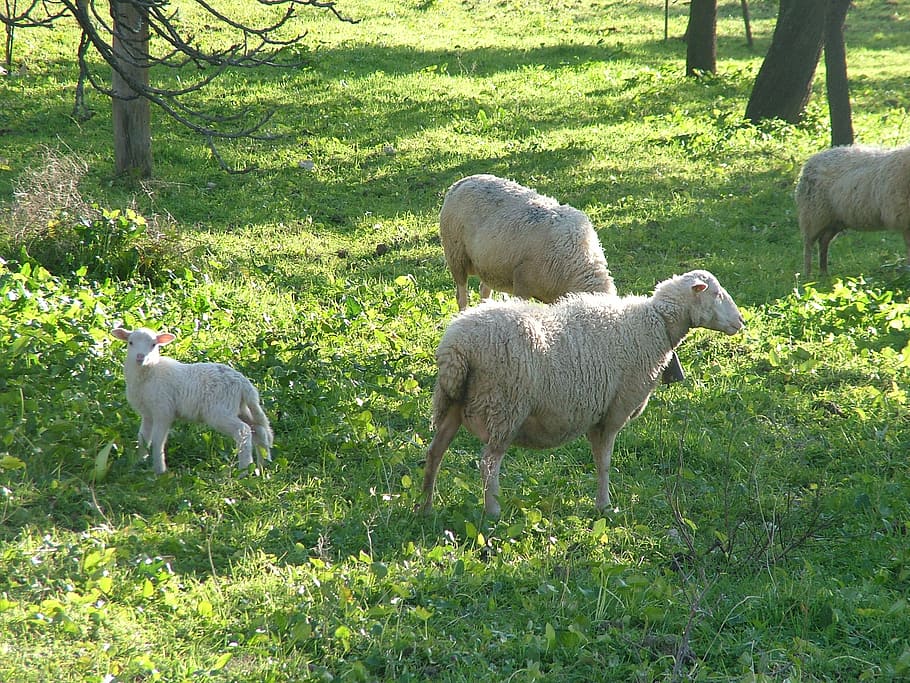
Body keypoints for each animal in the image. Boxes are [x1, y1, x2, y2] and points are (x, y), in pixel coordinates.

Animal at [111, 326, 273, 474]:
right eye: (130, 342)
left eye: (153, 344)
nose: (140, 357)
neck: (150, 372)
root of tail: (244, 384)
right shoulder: (147, 413)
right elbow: (143, 438)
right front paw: (138, 463)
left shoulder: (163, 410)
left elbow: (158, 441)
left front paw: (160, 471)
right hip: (239, 408)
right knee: (259, 430)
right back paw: (263, 466)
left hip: (220, 411)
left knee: (243, 431)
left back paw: (244, 471)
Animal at [418, 270, 744, 516]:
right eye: (716, 294)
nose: (741, 322)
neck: (655, 324)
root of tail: (457, 347)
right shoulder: (615, 411)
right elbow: (605, 462)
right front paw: (604, 506)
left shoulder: (595, 413)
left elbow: (598, 459)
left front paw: (601, 504)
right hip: (505, 407)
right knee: (488, 464)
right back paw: (493, 512)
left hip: (452, 402)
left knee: (434, 452)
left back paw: (426, 506)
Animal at [439, 172, 684, 383]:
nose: (674, 379)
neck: (578, 266)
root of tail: (463, 180)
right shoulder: (522, 285)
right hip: (456, 255)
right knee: (461, 294)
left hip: (487, 265)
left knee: (484, 290)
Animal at [796, 143, 910, 276]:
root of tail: (812, 159)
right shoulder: (905, 219)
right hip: (813, 215)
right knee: (808, 244)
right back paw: (807, 275)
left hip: (834, 220)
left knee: (823, 241)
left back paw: (824, 273)